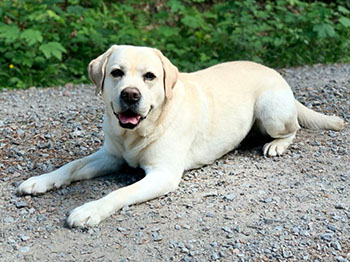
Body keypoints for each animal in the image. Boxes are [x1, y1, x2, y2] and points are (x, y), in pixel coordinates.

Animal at [17, 45, 344, 227]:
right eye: (116, 73)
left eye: (149, 76)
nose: (130, 95)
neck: (136, 133)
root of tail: (276, 73)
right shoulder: (110, 155)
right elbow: (71, 166)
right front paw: (40, 181)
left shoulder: (162, 175)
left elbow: (119, 193)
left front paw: (89, 211)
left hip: (271, 111)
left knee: (294, 129)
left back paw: (276, 146)